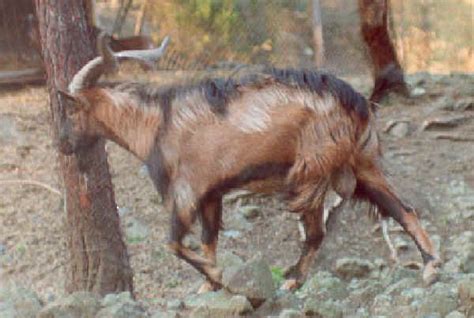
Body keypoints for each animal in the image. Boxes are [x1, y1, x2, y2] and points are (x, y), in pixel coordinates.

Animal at [58, 33, 440, 292]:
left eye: (70, 111)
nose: (62, 146)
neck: (156, 123)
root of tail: (359, 102)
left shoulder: (186, 191)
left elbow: (175, 243)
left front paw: (214, 276)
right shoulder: (211, 193)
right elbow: (208, 239)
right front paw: (210, 285)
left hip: (309, 172)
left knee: (316, 231)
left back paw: (292, 280)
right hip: (362, 165)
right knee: (403, 209)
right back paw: (431, 265)